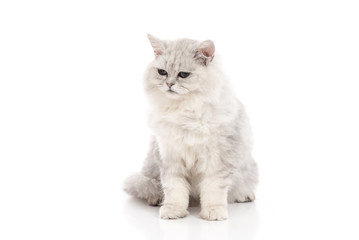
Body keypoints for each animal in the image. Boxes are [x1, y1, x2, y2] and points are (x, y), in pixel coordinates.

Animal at [124, 34, 258, 221]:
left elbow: (214, 190)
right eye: (162, 72)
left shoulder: (217, 160)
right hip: (148, 172)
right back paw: (156, 200)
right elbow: (174, 189)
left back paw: (245, 196)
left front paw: (213, 212)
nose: (169, 84)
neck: (185, 110)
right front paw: (173, 211)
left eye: (184, 75)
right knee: (147, 188)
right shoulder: (170, 158)